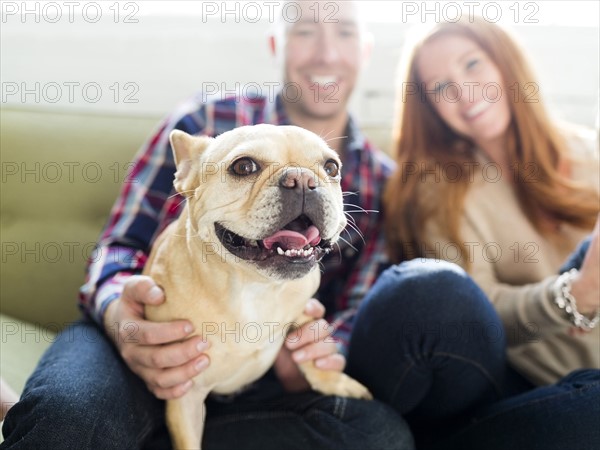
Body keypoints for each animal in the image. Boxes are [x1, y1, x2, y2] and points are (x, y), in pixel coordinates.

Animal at [145, 124, 370, 450]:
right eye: (244, 167)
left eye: (332, 168)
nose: (302, 179)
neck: (252, 285)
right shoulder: (184, 394)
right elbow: (188, 442)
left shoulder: (304, 305)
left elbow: (313, 353)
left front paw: (334, 381)